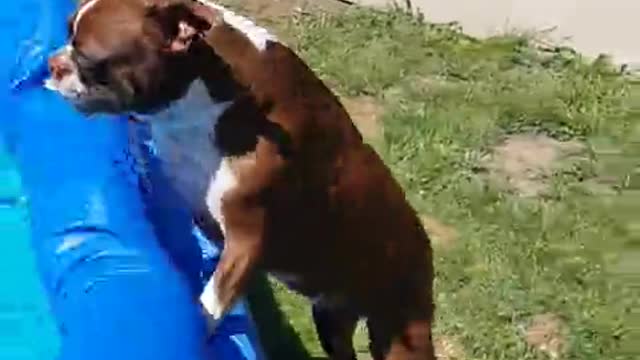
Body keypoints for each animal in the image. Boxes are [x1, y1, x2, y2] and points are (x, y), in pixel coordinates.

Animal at [45, 1, 436, 358]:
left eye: (88, 58)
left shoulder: (247, 240)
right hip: (332, 318)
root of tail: (424, 245)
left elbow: (212, 301)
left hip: (401, 327)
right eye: (67, 33)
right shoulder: (199, 209)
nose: (52, 63)